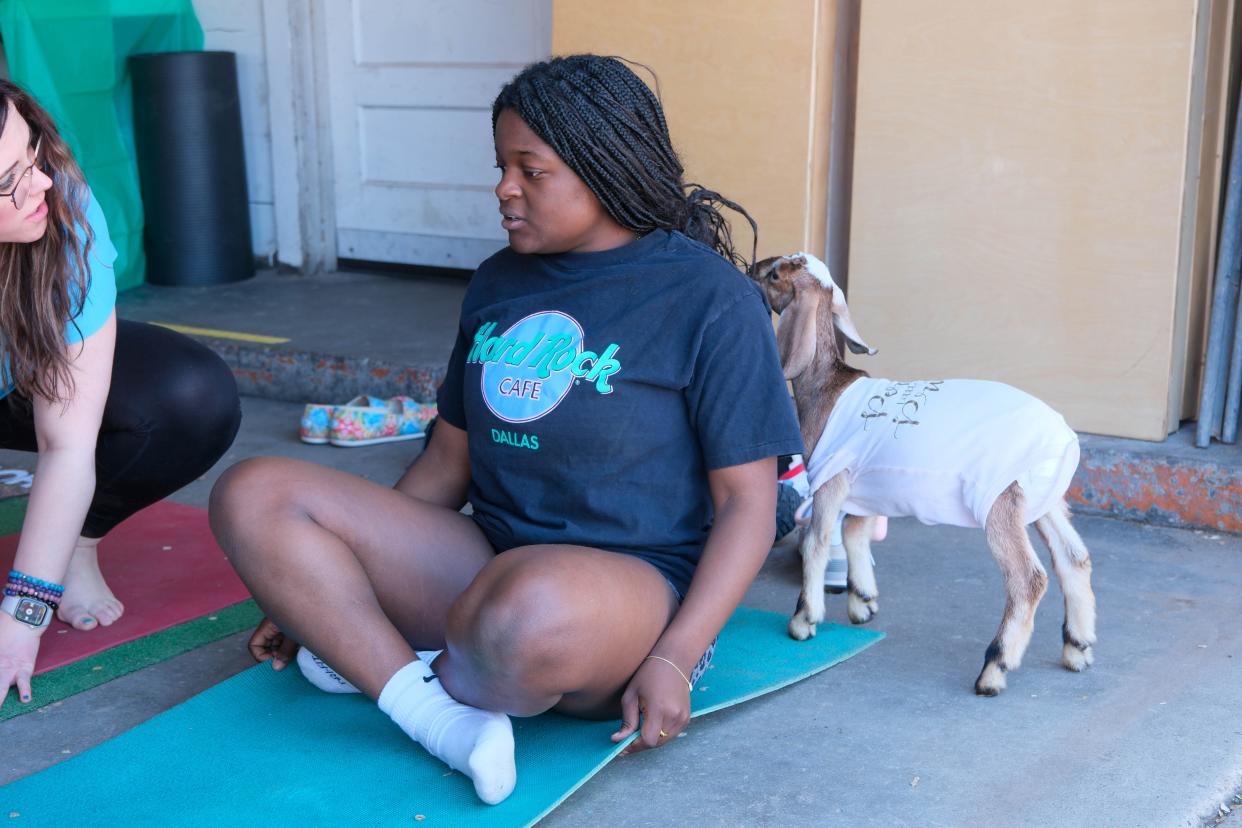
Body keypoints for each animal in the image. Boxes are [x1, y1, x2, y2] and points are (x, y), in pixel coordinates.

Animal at [745, 253, 1097, 695]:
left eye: (776, 274)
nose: (751, 270)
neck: (828, 388)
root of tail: (1063, 438)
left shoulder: (831, 480)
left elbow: (817, 543)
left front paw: (804, 621)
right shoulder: (869, 488)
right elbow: (855, 533)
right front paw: (863, 602)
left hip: (1000, 501)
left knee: (1028, 577)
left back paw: (994, 668)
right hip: (1043, 501)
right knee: (1074, 558)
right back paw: (1078, 648)